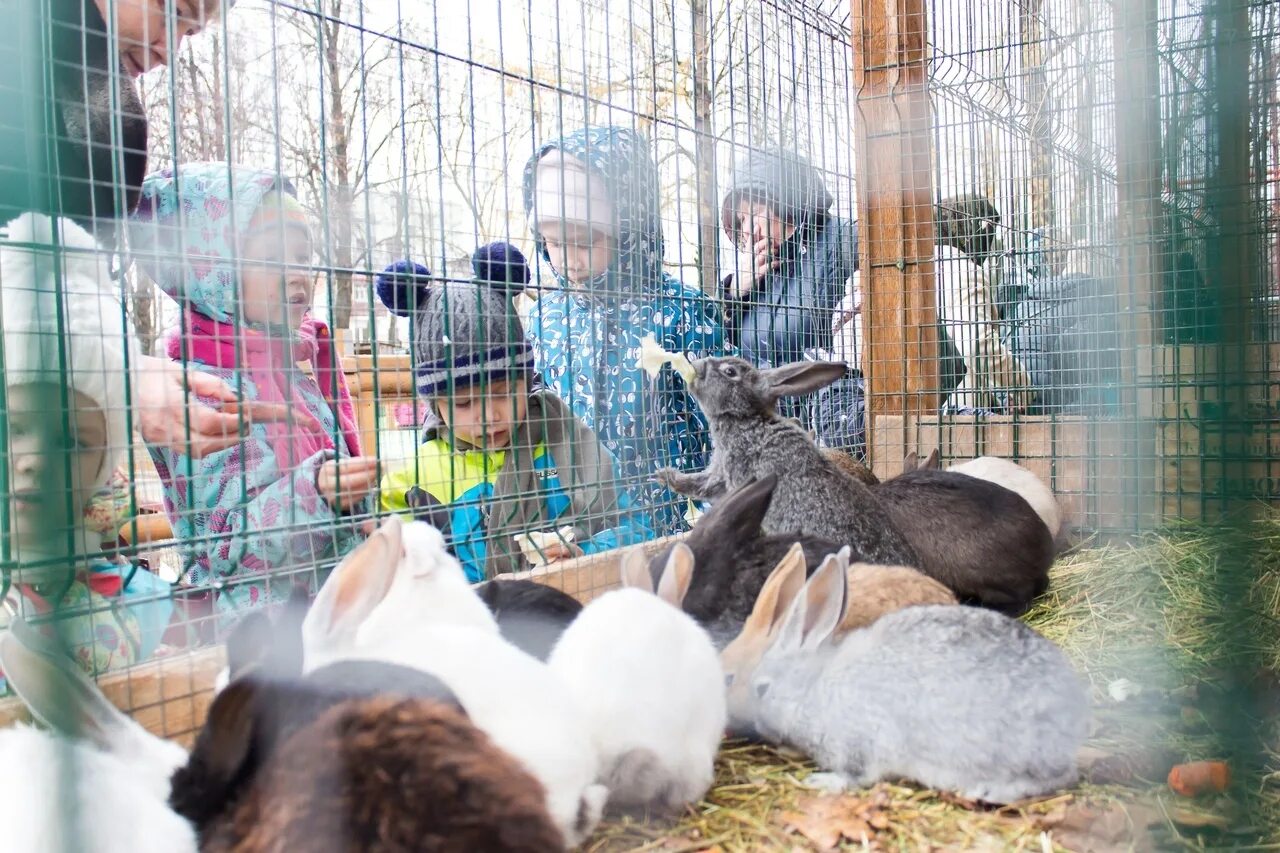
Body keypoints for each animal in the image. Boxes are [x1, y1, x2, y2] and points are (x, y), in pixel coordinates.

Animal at [737, 548, 1085, 799]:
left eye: (761, 688)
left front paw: (821, 782)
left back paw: (986, 791)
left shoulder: (860, 744)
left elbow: (856, 776)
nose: (754, 726)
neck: (813, 687)